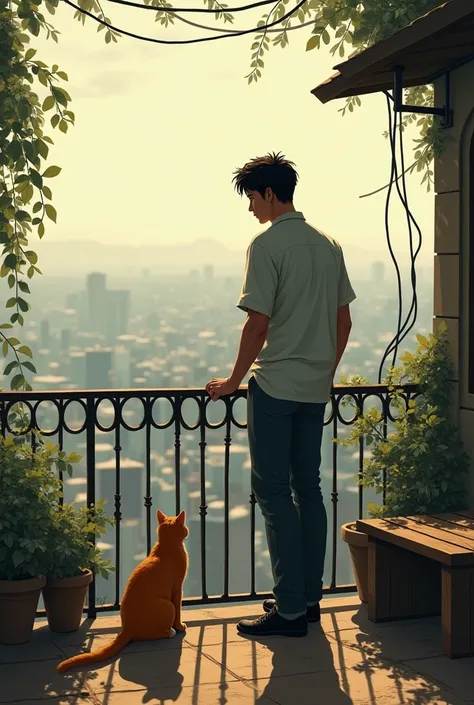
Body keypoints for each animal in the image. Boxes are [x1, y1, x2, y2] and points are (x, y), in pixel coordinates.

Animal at [56, 508, 189, 668]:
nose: (187, 531)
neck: (166, 545)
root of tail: (126, 629)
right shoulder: (178, 588)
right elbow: (179, 609)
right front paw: (180, 626)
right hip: (168, 605)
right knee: (152, 633)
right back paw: (170, 632)